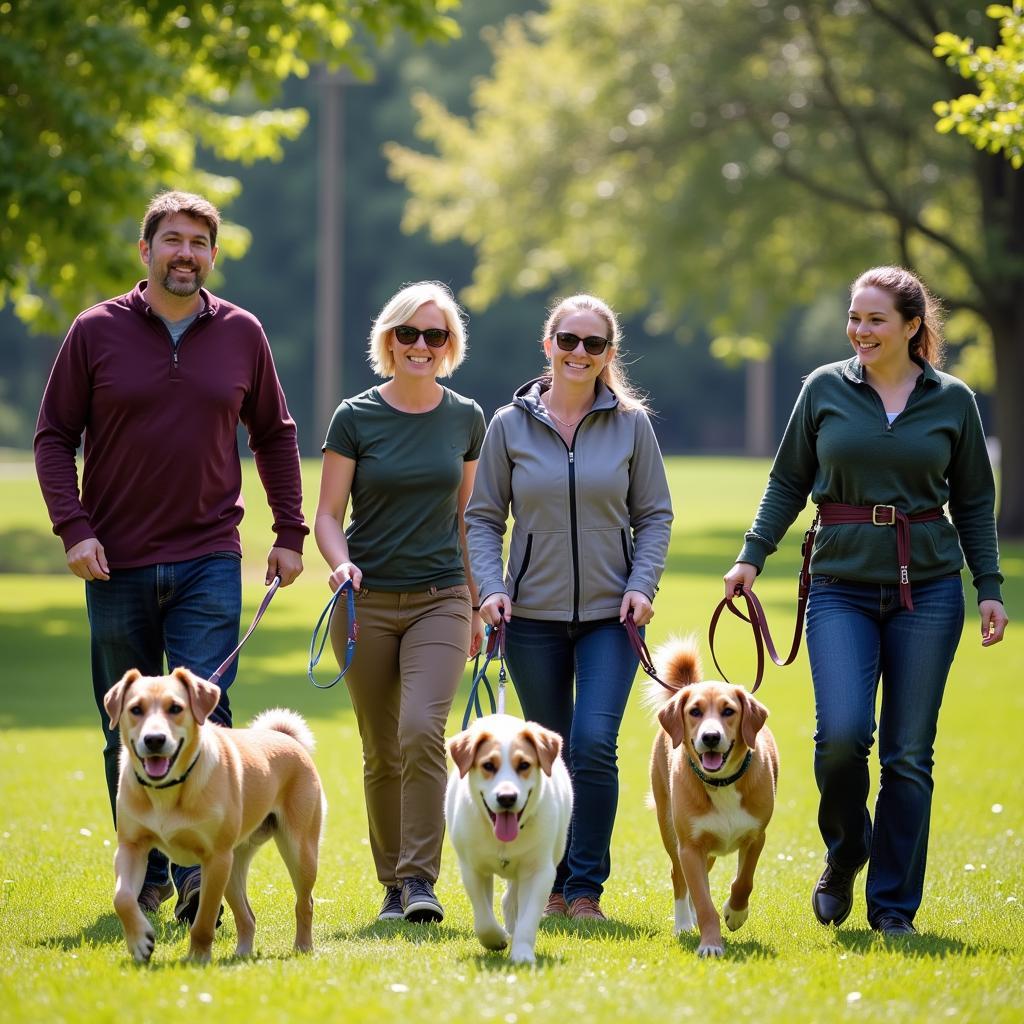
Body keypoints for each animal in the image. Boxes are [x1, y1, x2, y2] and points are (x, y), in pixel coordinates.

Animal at [103, 667, 323, 962]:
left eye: (176, 708)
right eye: (135, 709)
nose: (154, 740)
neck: (167, 790)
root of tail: (285, 737)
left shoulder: (215, 859)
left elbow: (204, 918)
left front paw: (198, 957)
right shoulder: (131, 847)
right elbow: (123, 898)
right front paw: (140, 941)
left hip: (298, 851)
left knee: (305, 902)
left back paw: (302, 946)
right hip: (234, 865)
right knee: (247, 917)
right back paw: (242, 953)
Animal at [448, 716, 577, 962]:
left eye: (524, 765)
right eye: (488, 765)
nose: (507, 797)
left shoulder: (539, 872)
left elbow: (528, 919)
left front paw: (522, 953)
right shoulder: (472, 868)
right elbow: (484, 918)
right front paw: (497, 938)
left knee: (512, 900)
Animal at [651, 634, 778, 954]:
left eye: (728, 711)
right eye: (695, 712)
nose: (710, 737)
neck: (722, 783)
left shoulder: (756, 836)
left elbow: (744, 881)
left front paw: (735, 913)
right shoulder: (690, 846)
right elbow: (703, 900)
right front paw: (710, 944)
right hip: (670, 828)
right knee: (679, 877)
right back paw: (684, 923)